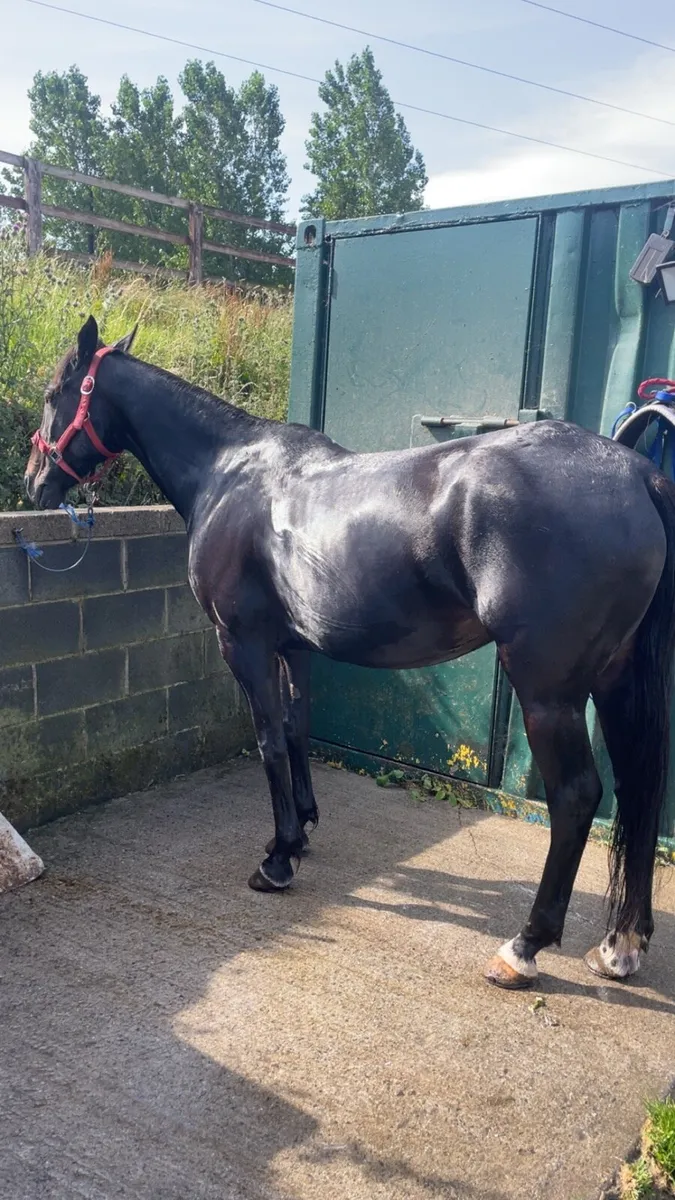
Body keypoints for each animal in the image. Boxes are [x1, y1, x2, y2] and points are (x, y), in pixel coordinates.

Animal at [24, 316, 675, 990]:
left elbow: (268, 740)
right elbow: (296, 728)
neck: (228, 472)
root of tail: (636, 474)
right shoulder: (295, 646)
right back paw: (621, 944)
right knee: (639, 787)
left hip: (549, 693)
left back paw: (524, 947)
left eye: (53, 394)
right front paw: (301, 830)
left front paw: (277, 860)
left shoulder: (244, 644)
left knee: (576, 796)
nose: (34, 483)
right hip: (616, 681)